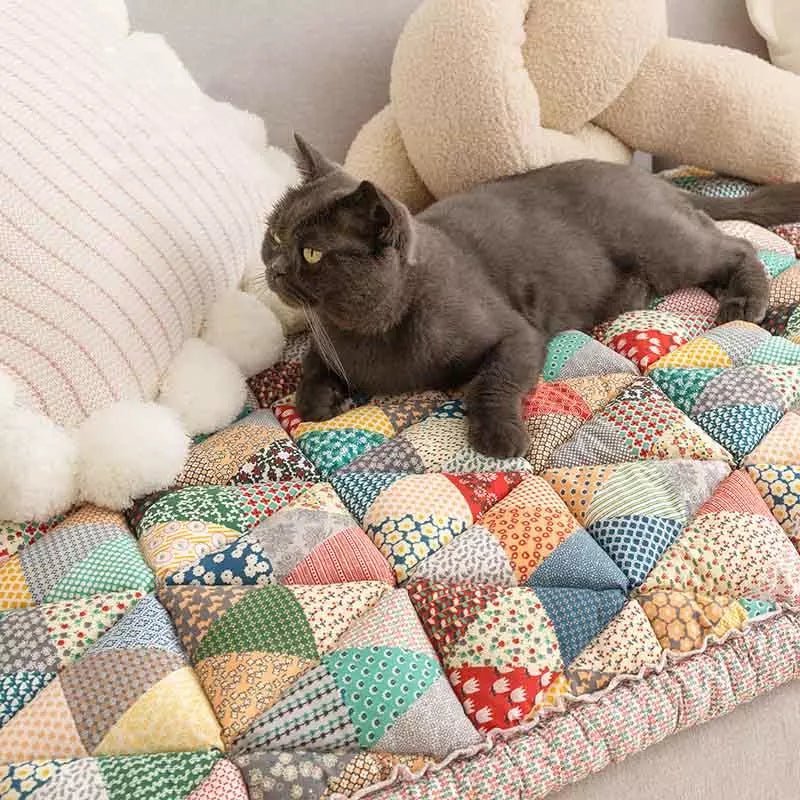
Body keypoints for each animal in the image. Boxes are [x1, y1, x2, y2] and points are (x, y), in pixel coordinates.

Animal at [264, 139, 800, 456]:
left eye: (311, 252)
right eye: (274, 234)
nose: (273, 267)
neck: (364, 331)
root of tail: (647, 178)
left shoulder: (516, 335)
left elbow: (491, 381)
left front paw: (499, 436)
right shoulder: (324, 342)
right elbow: (310, 371)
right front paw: (319, 400)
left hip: (662, 245)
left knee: (737, 244)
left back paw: (743, 303)